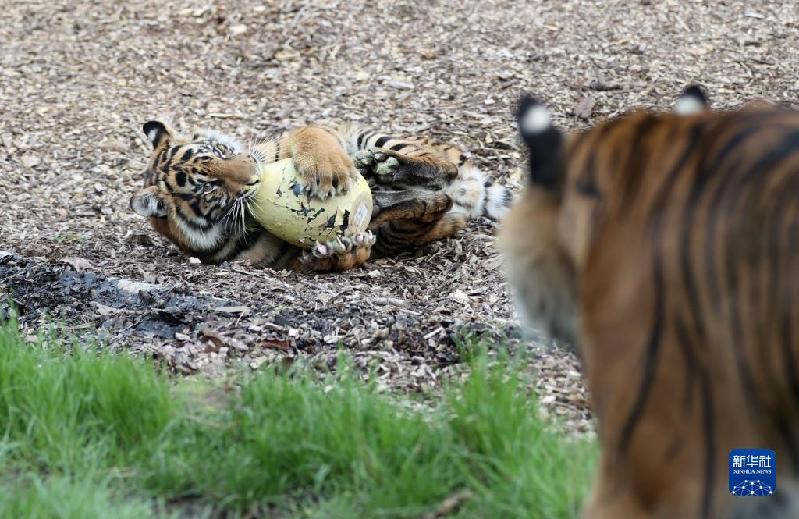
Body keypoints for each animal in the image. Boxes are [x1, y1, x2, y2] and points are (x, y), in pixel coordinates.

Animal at [130, 118, 506, 272]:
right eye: (210, 188)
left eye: (220, 152)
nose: (254, 174)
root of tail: (472, 190)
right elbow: (336, 256)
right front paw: (333, 252)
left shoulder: (288, 142)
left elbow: (309, 135)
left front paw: (328, 170)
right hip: (401, 232)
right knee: (433, 204)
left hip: (375, 136)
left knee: (445, 167)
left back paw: (381, 166)